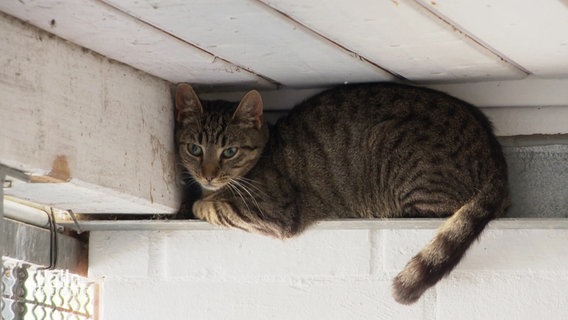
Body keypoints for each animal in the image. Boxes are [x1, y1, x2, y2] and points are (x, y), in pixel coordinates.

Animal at [174, 82, 510, 304]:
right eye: (194, 149)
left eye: (229, 151)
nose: (208, 174)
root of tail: (497, 160)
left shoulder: (272, 213)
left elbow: (216, 207)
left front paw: (199, 203)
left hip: (396, 150)